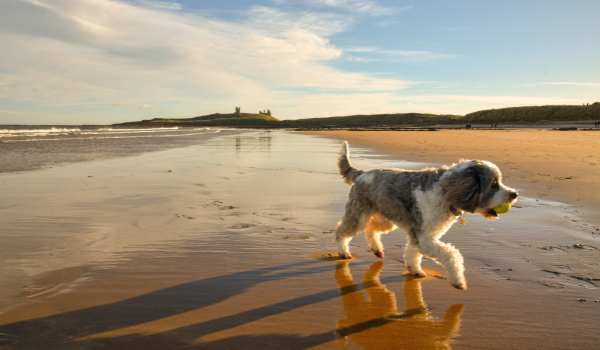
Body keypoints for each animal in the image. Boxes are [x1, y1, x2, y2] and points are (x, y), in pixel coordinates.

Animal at [336, 140, 516, 290]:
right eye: (493, 184)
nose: (514, 194)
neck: (445, 191)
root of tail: (363, 173)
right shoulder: (424, 237)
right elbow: (450, 255)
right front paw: (458, 280)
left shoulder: (420, 234)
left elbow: (413, 252)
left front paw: (414, 270)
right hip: (359, 215)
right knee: (341, 232)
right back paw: (343, 252)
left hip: (386, 218)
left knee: (371, 229)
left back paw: (377, 249)